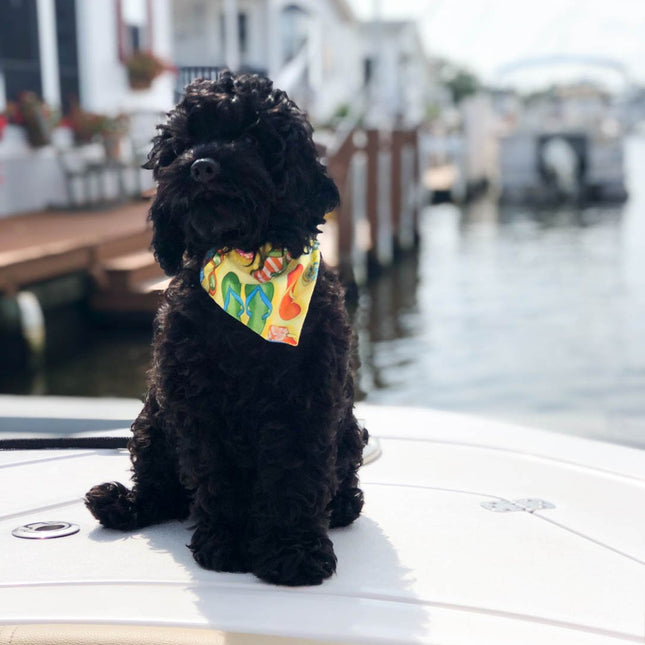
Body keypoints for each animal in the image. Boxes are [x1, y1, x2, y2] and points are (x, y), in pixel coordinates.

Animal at [85, 73, 368, 588]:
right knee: (161, 487)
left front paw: (293, 552)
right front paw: (230, 545)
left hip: (349, 429)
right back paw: (123, 504)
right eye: (182, 146)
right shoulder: (197, 402)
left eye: (253, 139)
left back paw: (341, 505)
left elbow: (294, 474)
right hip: (153, 419)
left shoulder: (305, 399)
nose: (201, 168)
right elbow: (218, 476)